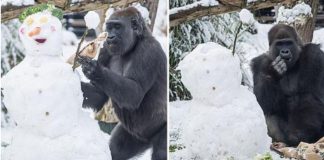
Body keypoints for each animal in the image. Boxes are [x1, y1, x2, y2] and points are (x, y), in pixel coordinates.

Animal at [78, 6, 167, 159]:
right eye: (110, 27)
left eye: (118, 27)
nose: (110, 36)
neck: (135, 43)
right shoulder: (105, 49)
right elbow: (99, 94)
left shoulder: (149, 51)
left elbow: (135, 92)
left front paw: (96, 70)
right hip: (134, 136)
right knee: (116, 150)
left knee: (161, 151)